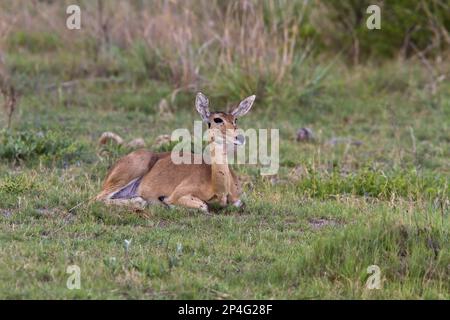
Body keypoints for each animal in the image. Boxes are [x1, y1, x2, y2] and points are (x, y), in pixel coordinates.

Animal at [96, 92, 255, 212]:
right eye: (217, 119)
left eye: (235, 119)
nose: (239, 137)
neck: (219, 188)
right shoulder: (178, 194)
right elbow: (203, 206)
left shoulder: (237, 200)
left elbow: (240, 204)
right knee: (97, 198)